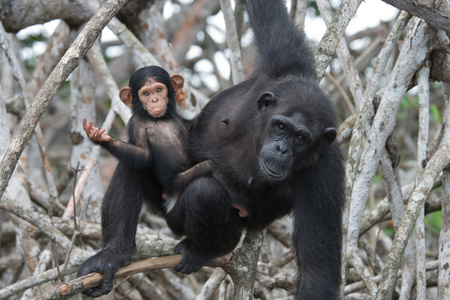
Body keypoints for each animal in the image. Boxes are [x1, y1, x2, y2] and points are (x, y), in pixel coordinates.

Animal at [79, 0, 344, 298]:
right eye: (280, 126)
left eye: (300, 138)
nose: (281, 148)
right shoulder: (282, 63)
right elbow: (271, 18)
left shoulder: (326, 173)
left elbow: (316, 273)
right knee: (135, 161)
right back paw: (112, 256)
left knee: (204, 192)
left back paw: (203, 251)